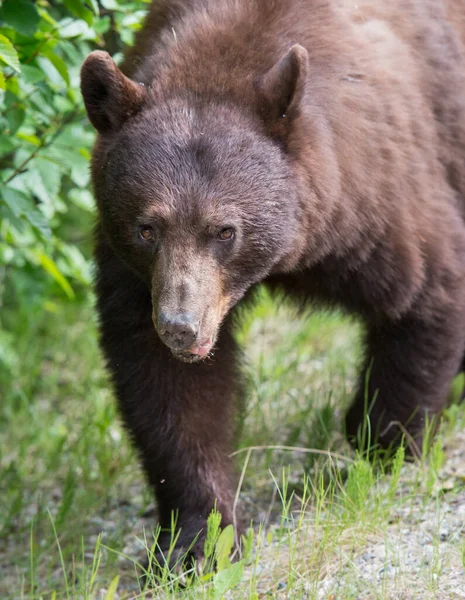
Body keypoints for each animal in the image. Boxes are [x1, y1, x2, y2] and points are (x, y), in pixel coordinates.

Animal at [81, 0, 464, 572]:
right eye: (147, 228)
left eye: (225, 230)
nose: (180, 327)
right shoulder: (137, 277)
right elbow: (165, 389)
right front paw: (197, 543)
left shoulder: (375, 194)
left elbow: (426, 292)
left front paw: (381, 445)